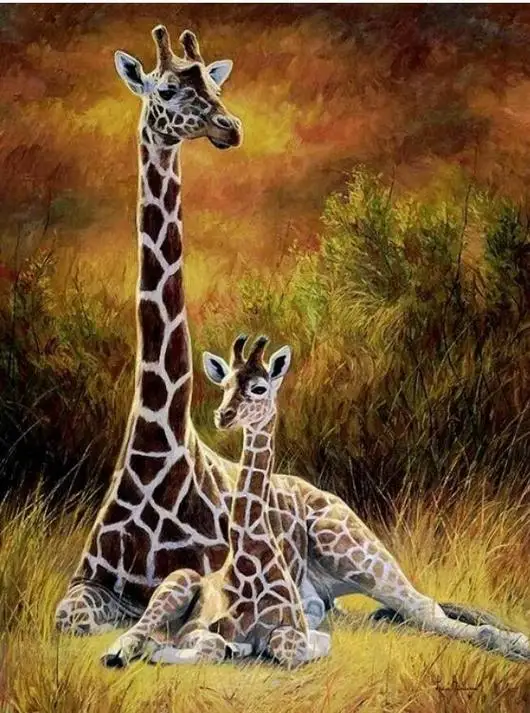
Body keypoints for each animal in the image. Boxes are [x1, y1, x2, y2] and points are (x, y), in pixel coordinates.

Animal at [101, 336, 331, 668]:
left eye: (259, 387)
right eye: (224, 385)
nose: (223, 415)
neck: (251, 557)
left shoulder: (294, 628)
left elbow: (299, 646)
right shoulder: (196, 628)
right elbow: (212, 644)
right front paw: (163, 651)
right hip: (178, 581)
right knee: (138, 630)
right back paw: (123, 651)